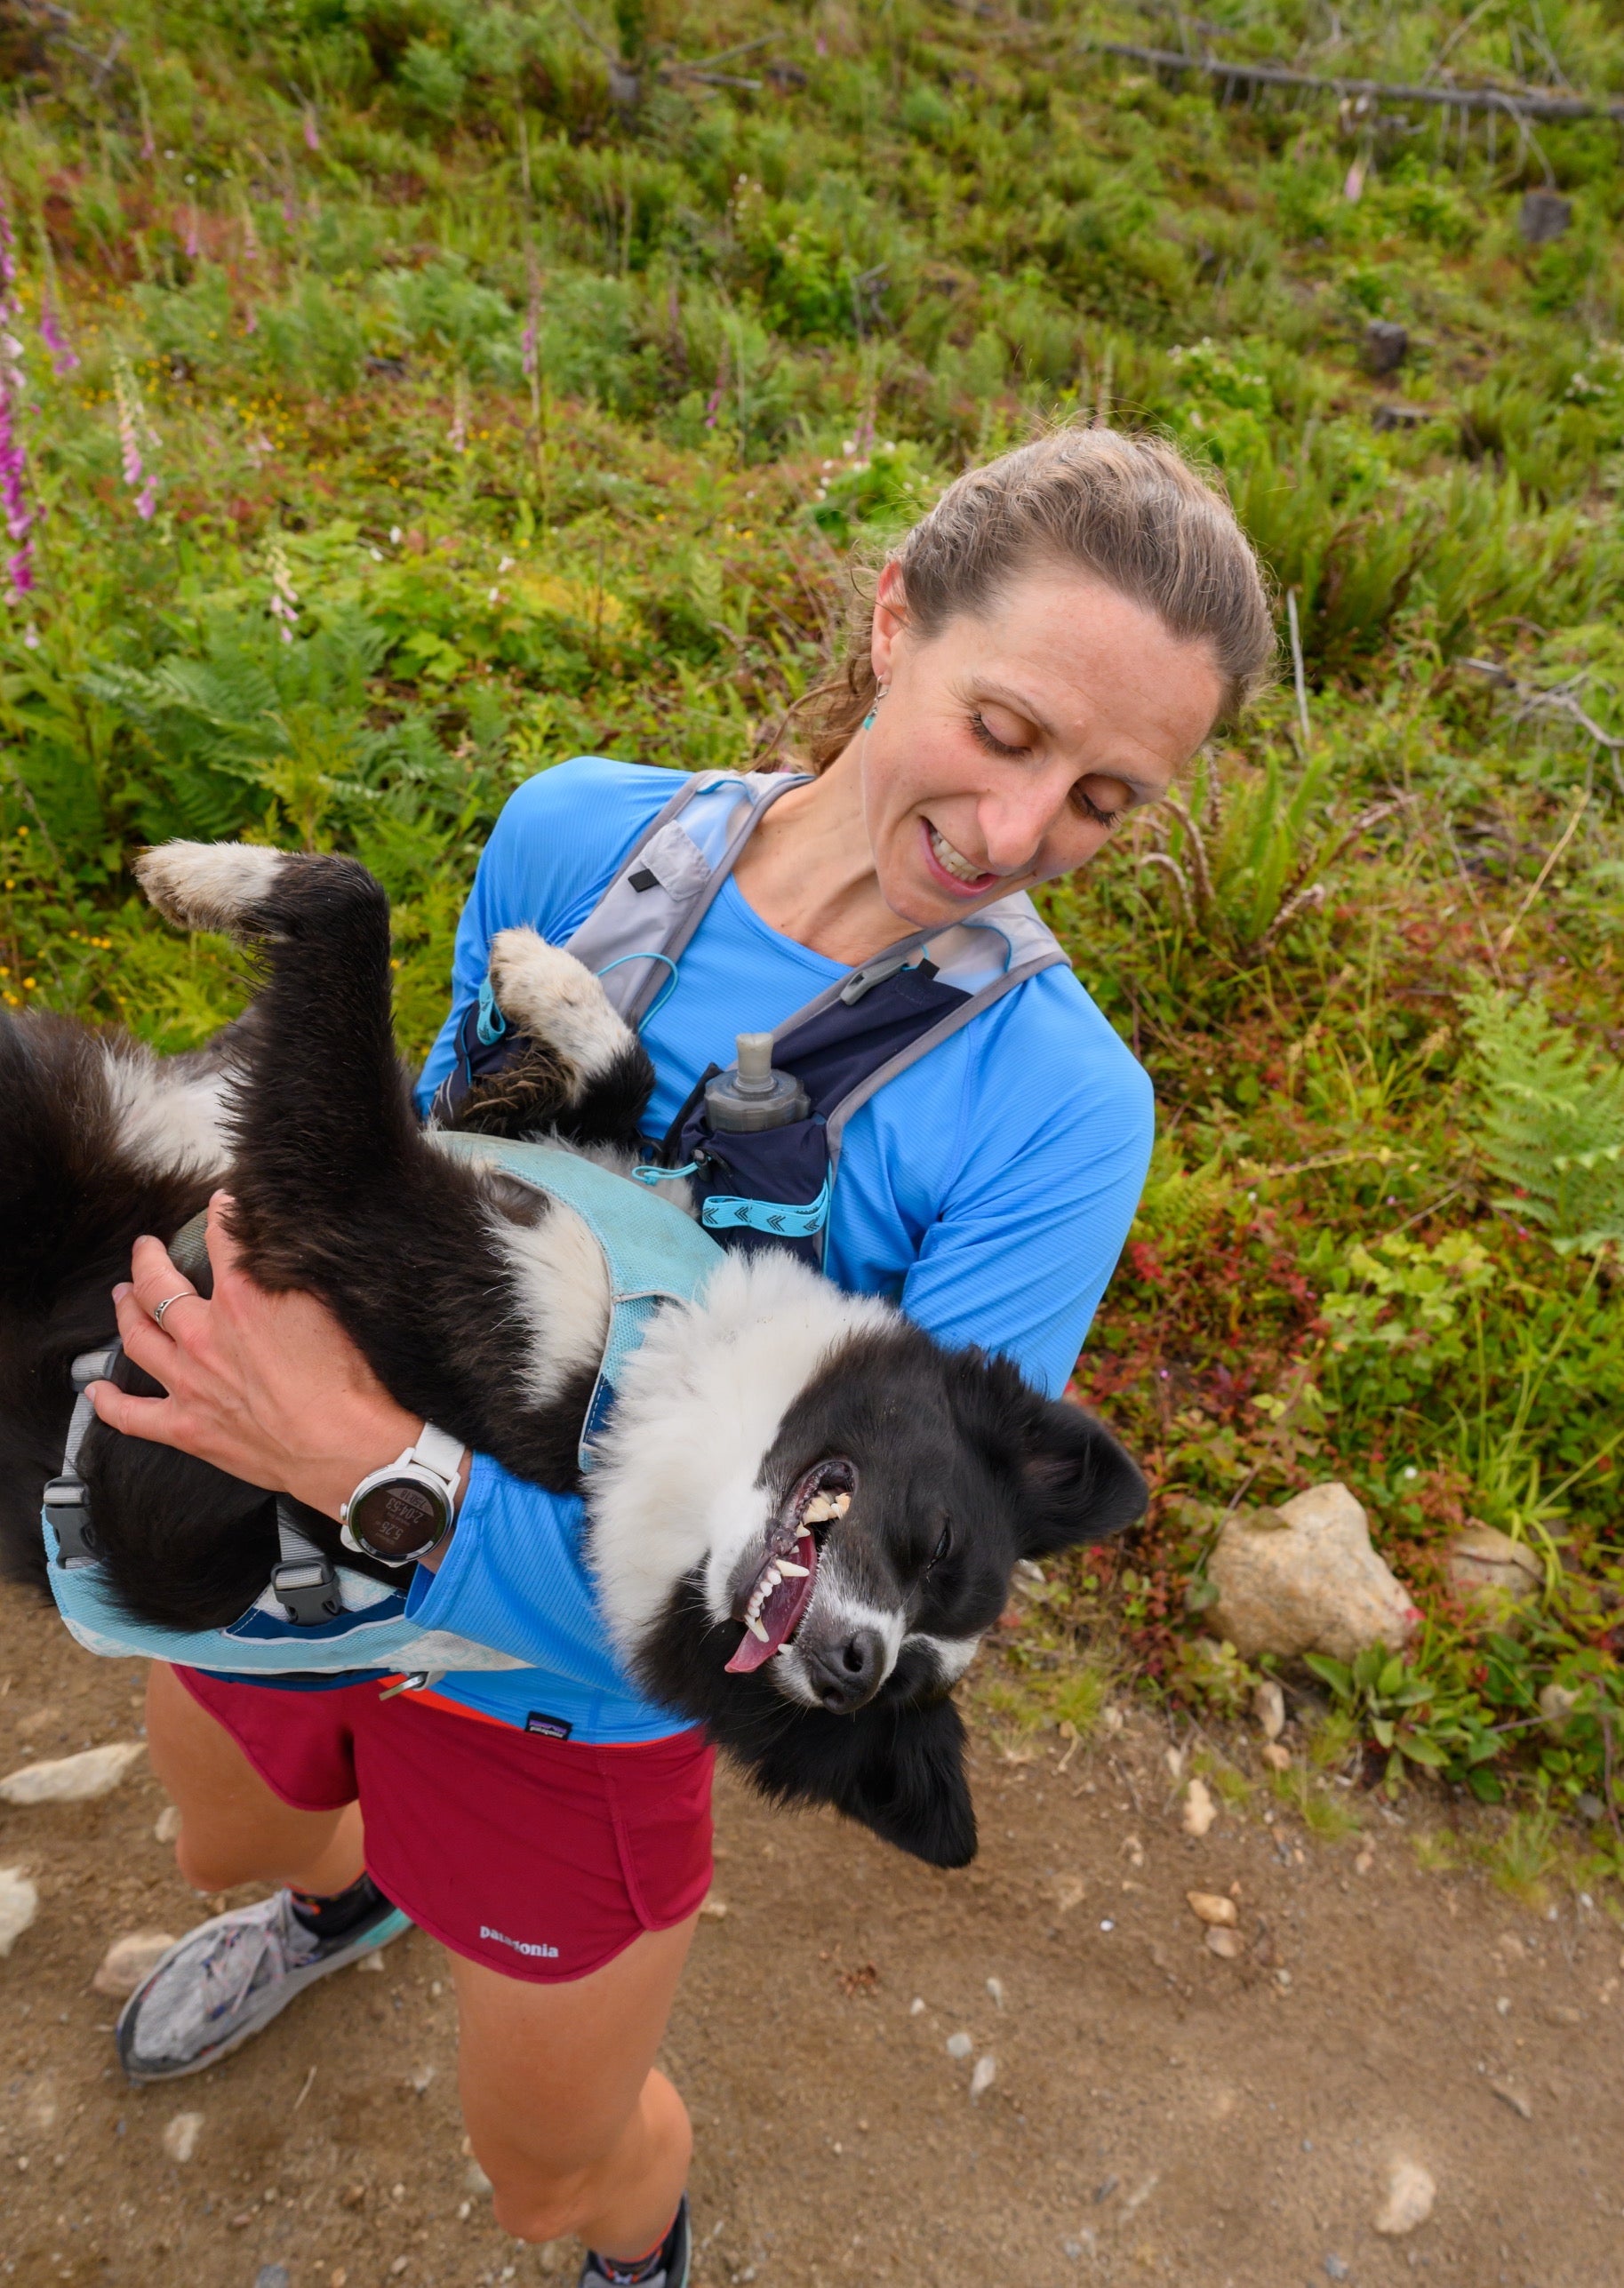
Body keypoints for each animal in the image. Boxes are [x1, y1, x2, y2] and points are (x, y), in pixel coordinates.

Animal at [0, 842, 1143, 1858]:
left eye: (896, 1688)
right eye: (939, 1543)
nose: (854, 1669)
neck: (660, 1346)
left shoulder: (352, 1213)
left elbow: (352, 909)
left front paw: (207, 874)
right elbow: (617, 1072)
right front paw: (540, 978)